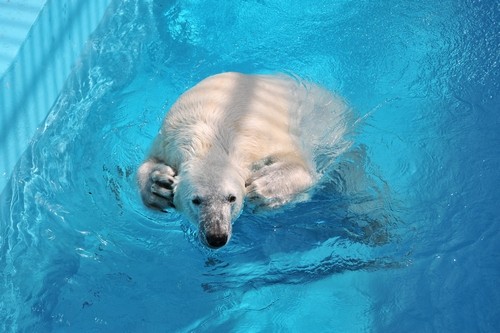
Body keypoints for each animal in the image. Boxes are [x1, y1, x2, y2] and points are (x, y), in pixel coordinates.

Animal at [135, 73, 350, 249]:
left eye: (232, 198)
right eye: (196, 200)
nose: (216, 237)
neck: (210, 140)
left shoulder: (262, 139)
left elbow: (299, 163)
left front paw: (264, 187)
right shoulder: (168, 140)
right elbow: (147, 165)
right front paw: (159, 185)